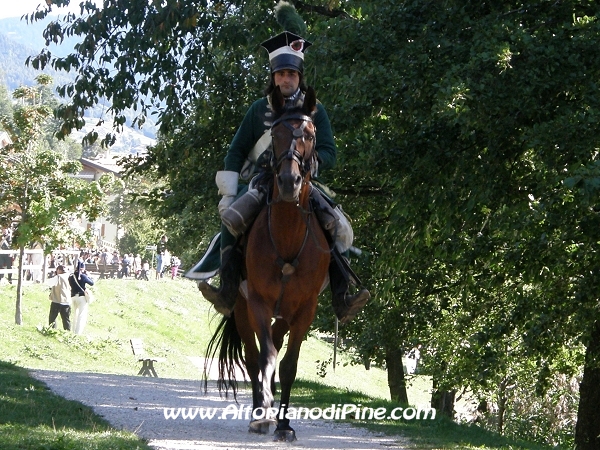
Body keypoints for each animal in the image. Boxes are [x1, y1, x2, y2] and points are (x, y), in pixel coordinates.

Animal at [205, 86, 328, 442]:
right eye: (274, 134)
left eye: (310, 135)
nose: (289, 181)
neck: (287, 235)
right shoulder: (258, 302)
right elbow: (265, 358)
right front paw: (263, 416)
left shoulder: (304, 310)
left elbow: (287, 366)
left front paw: (285, 423)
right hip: (242, 308)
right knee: (252, 356)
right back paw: (260, 412)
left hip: (283, 315)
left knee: (273, 346)